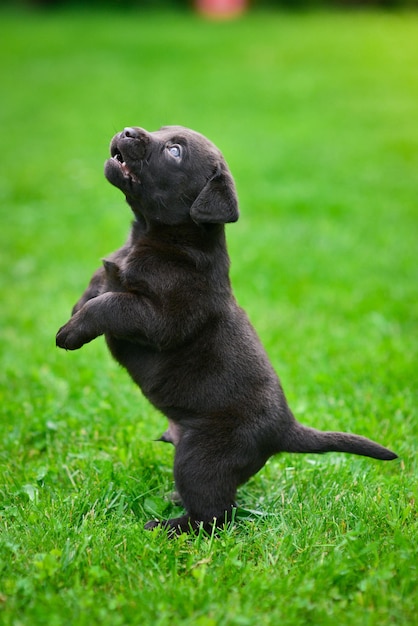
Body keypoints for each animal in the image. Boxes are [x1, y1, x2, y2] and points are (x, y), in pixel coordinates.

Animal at [56, 125, 398, 532]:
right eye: (160, 130)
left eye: (174, 151)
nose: (128, 131)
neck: (152, 237)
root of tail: (286, 428)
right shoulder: (112, 275)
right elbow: (95, 288)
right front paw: (73, 316)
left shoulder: (160, 317)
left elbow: (108, 304)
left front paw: (71, 333)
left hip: (202, 458)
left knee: (215, 516)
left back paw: (166, 527)